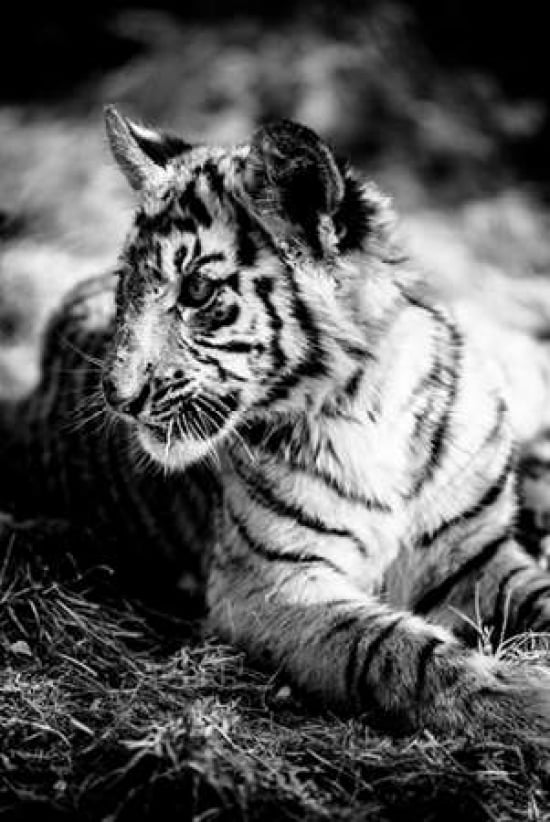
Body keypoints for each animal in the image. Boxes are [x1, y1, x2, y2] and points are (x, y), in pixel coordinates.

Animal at [1, 107, 550, 754]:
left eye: (197, 290)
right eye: (126, 285)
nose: (117, 396)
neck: (369, 406)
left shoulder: (475, 557)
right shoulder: (272, 583)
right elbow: (399, 651)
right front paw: (528, 700)